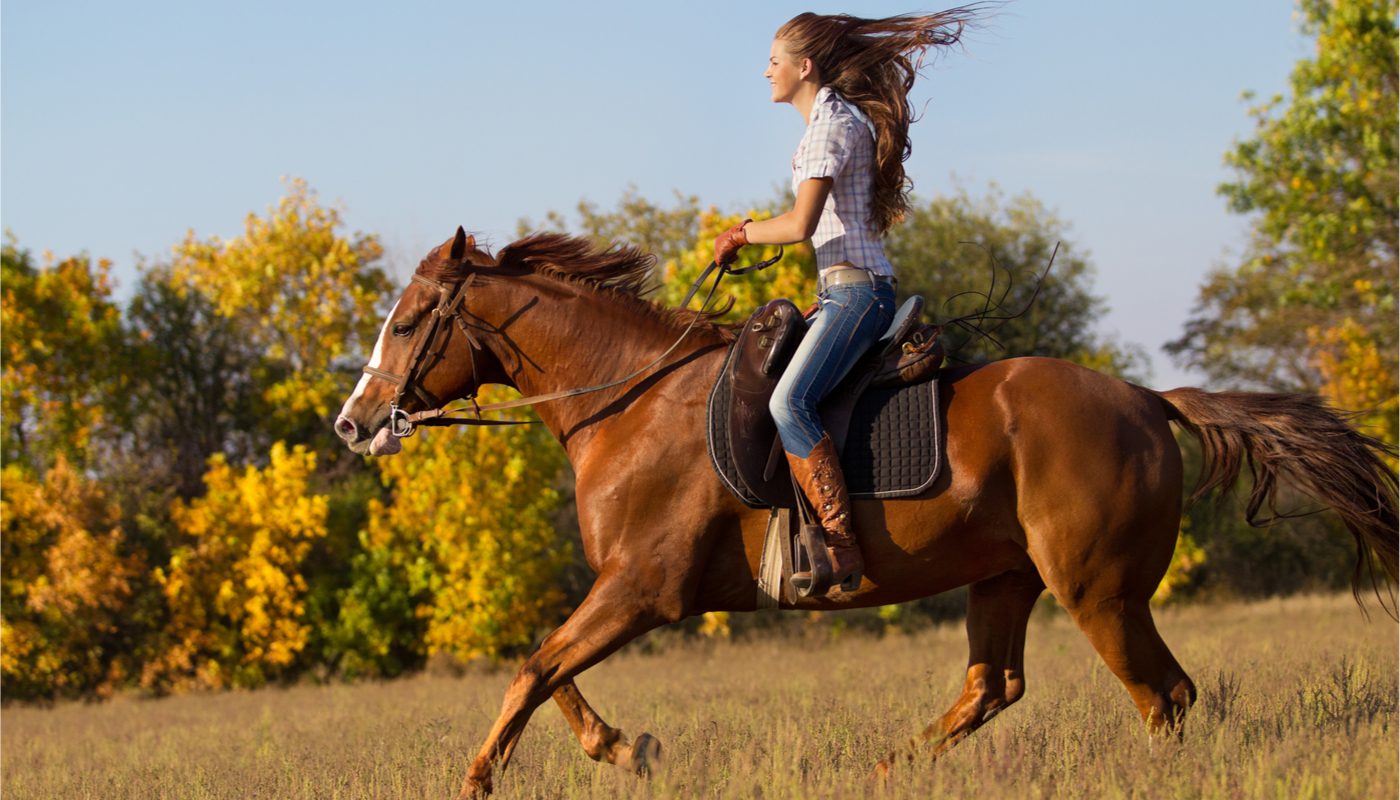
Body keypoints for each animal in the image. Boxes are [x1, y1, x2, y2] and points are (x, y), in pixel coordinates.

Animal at [333, 228, 1394, 795]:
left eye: (407, 319)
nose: (354, 423)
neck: (630, 399)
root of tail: (1146, 398)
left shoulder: (643, 589)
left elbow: (533, 669)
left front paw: (482, 779)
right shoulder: (624, 591)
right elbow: (547, 672)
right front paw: (622, 748)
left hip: (1097, 591)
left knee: (1163, 696)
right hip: (1006, 579)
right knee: (992, 688)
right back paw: (886, 771)